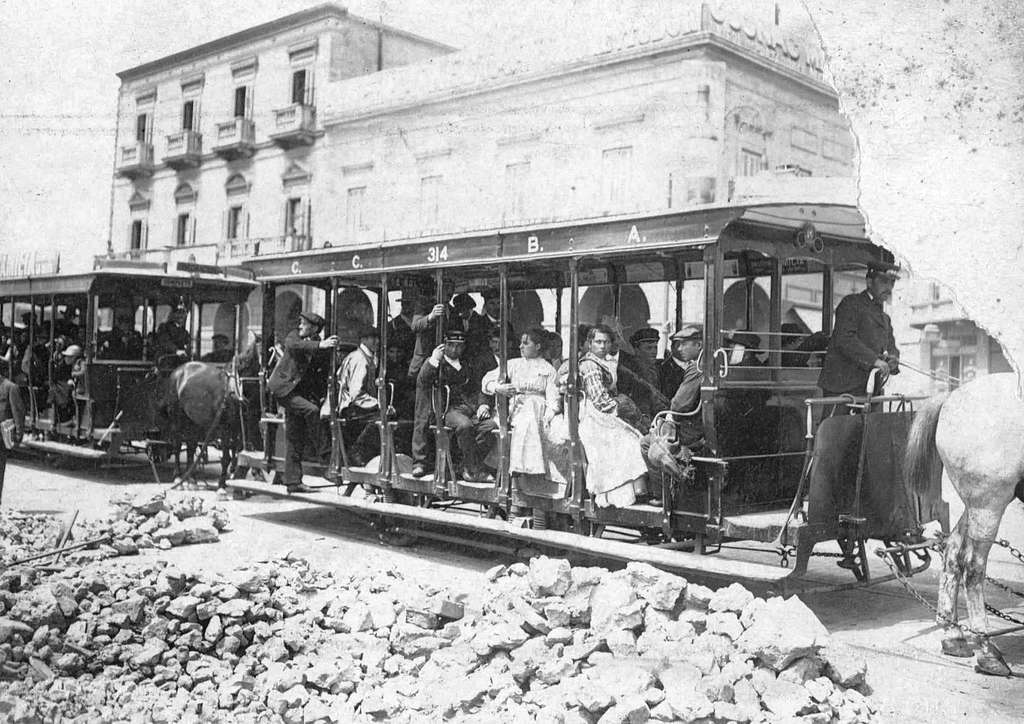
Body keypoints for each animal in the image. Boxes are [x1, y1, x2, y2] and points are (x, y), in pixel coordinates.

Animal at [155, 362, 241, 493]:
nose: (234, 395)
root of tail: (177, 371)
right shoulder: (224, 428)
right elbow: (226, 457)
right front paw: (221, 487)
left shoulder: (235, 428)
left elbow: (234, 453)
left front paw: (226, 481)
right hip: (177, 419)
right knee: (177, 446)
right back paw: (178, 479)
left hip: (193, 423)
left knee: (191, 446)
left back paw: (192, 480)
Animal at [905, 370, 1024, 675]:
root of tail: (952, 395)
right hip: (988, 503)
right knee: (973, 567)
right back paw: (986, 650)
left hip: (975, 507)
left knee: (953, 551)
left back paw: (953, 634)